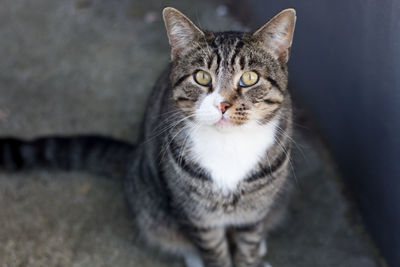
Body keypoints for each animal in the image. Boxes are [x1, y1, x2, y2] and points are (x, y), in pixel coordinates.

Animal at [0, 6, 296, 267]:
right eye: (201, 77)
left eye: (250, 78)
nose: (222, 105)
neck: (228, 146)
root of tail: (134, 154)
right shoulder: (198, 218)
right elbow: (214, 252)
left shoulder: (254, 211)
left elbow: (248, 246)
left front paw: (253, 256)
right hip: (152, 208)